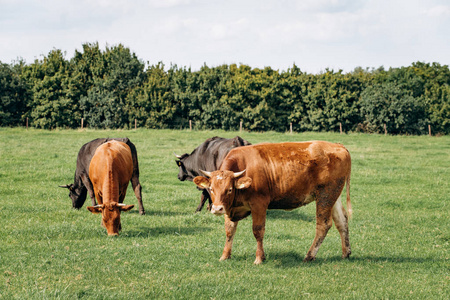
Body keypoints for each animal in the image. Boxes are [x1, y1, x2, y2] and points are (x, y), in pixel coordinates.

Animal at [193, 141, 352, 264]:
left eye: (230, 189)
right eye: (211, 189)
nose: (217, 209)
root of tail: (338, 146)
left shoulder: (259, 204)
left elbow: (258, 230)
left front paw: (259, 258)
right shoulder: (229, 207)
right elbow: (229, 230)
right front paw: (225, 256)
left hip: (325, 195)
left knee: (323, 224)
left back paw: (309, 255)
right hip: (334, 196)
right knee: (342, 221)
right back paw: (346, 253)